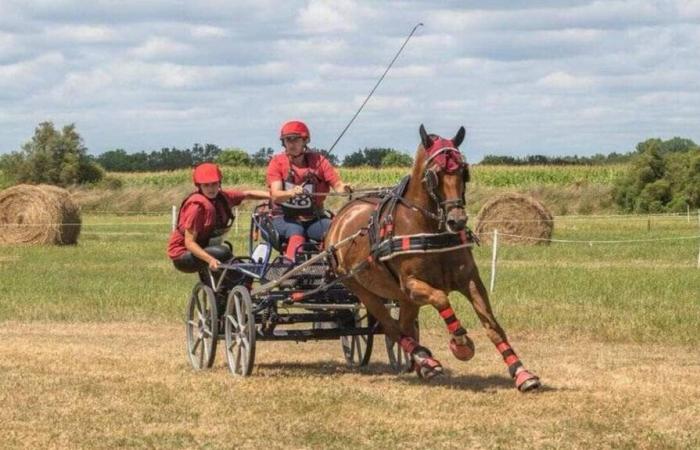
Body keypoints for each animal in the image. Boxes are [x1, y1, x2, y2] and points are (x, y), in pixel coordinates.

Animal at [326, 123, 540, 390]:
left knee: (404, 326)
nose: (457, 220)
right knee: (392, 328)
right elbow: (441, 299)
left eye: (463, 171)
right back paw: (425, 359)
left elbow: (492, 324)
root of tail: (340, 217)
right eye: (434, 174)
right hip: (362, 289)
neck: (429, 229)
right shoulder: (412, 285)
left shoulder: (469, 279)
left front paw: (521, 371)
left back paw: (423, 363)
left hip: (400, 297)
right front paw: (461, 344)